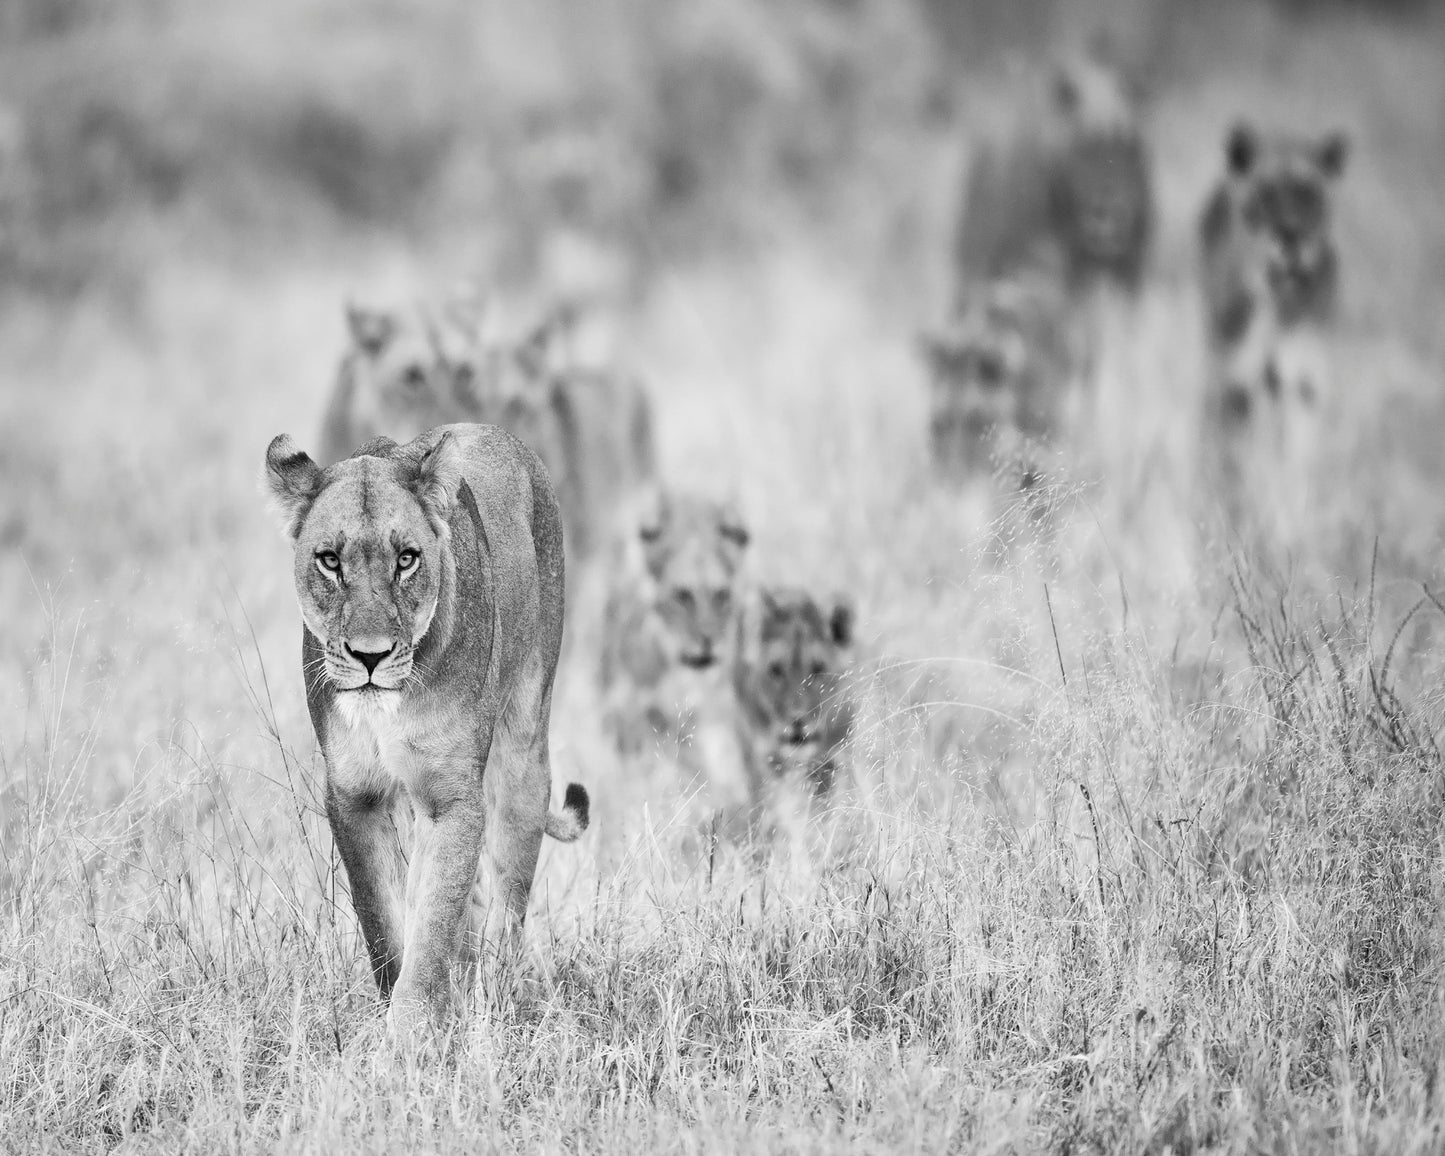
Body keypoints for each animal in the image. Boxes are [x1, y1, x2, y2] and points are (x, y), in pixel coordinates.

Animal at [264, 423, 589, 1030]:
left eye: (407, 559)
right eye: (329, 560)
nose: (370, 656)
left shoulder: (451, 796)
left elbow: (434, 920)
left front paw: (411, 1034)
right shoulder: (353, 793)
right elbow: (384, 924)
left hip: (524, 748)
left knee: (507, 904)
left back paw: (494, 1000)